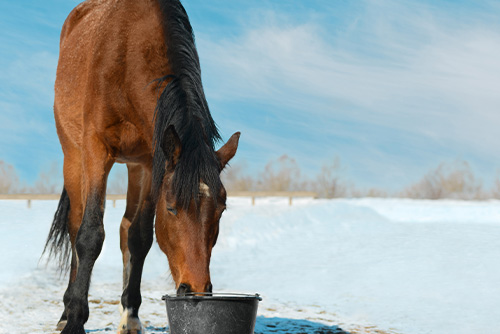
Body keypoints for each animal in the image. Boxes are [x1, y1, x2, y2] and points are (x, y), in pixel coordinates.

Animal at [42, 0, 239, 334]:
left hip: (133, 166)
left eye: (221, 209)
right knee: (75, 224)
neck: (128, 55)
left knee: (125, 229)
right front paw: (76, 319)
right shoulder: (96, 151)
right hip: (73, 155)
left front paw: (131, 314)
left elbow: (140, 237)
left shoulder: (150, 162)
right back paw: (66, 311)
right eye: (171, 208)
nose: (196, 290)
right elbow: (90, 234)